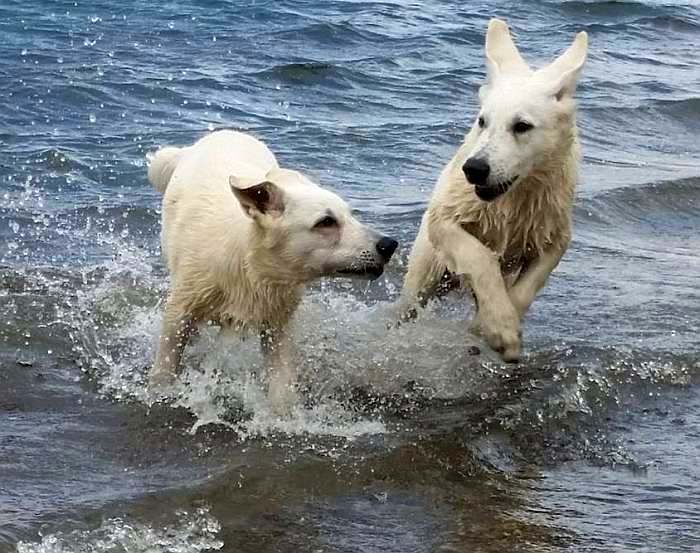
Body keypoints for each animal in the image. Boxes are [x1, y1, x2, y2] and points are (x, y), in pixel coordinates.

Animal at [146, 129, 400, 412]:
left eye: (350, 215)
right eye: (326, 222)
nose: (389, 245)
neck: (249, 265)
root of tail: (225, 132)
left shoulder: (278, 325)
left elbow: (282, 385)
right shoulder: (179, 311)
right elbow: (165, 367)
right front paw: (159, 393)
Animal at [402, 17, 588, 360]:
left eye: (522, 126)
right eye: (482, 121)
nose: (474, 169)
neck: (513, 198)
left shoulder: (553, 229)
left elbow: (530, 284)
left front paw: (496, 327)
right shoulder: (446, 216)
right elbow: (478, 256)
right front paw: (501, 327)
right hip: (427, 265)